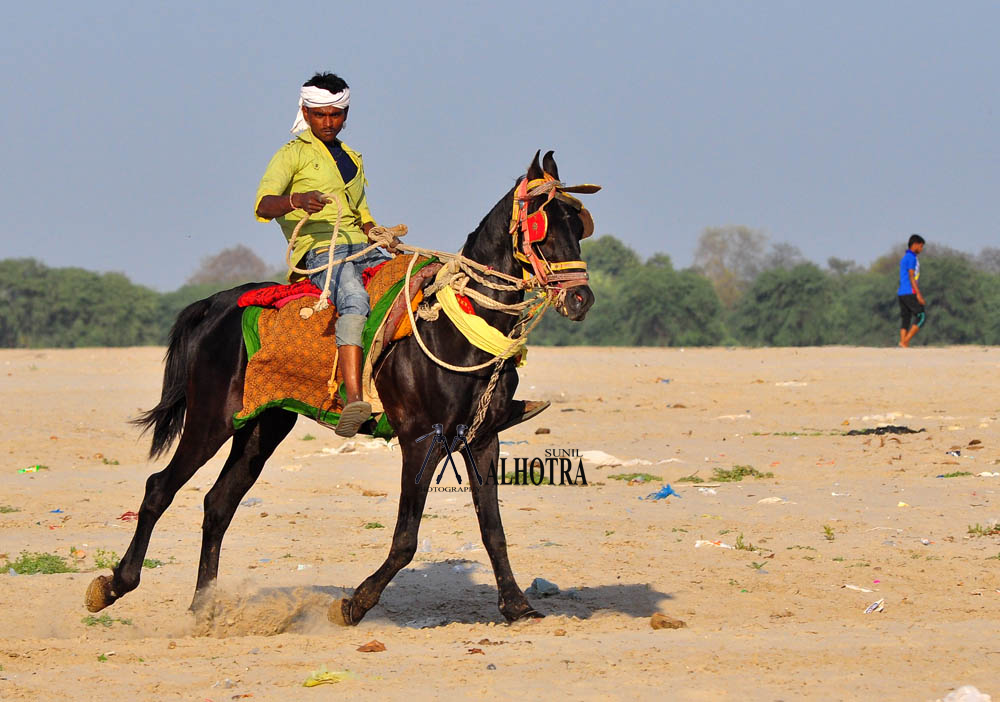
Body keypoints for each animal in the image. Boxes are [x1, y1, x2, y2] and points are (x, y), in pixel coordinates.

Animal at [86, 151, 592, 624]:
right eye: (542, 225)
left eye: (578, 224)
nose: (581, 297)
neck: (454, 325)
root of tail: (216, 304)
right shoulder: (421, 439)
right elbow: (406, 538)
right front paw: (354, 604)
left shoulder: (483, 437)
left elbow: (493, 529)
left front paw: (517, 604)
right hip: (212, 419)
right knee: (159, 489)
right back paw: (113, 586)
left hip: (263, 425)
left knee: (218, 504)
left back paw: (204, 608)